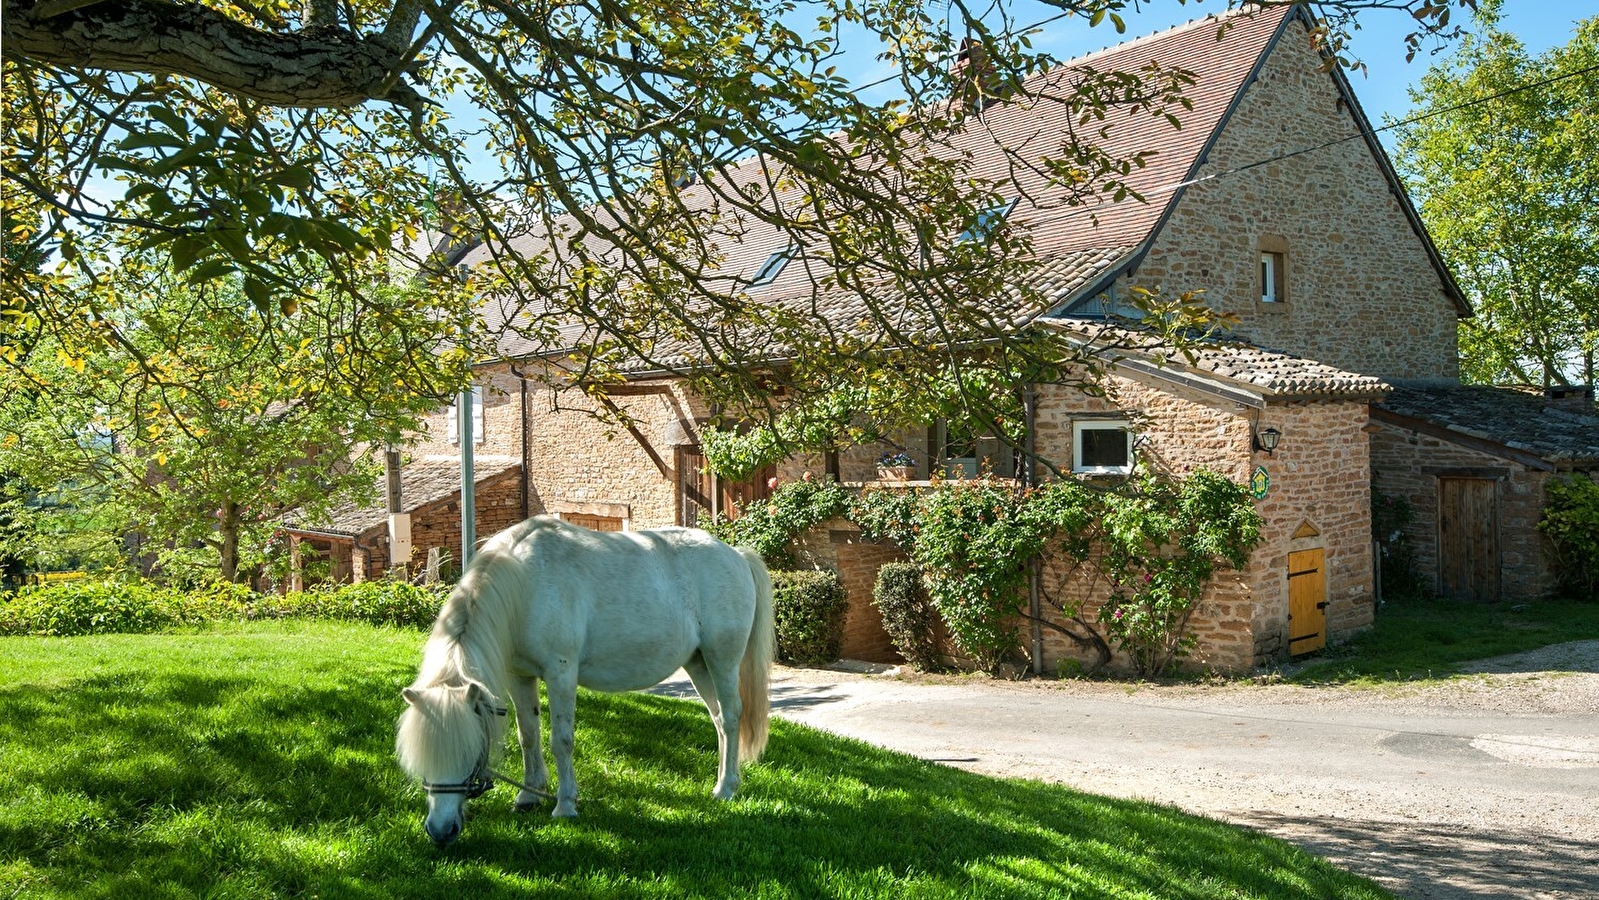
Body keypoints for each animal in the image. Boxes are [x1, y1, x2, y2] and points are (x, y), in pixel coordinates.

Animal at [398, 514, 773, 844]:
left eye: (470, 751)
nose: (440, 831)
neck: (525, 584)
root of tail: (736, 555)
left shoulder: (561, 672)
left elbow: (561, 740)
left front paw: (565, 805)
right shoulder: (520, 677)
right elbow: (528, 736)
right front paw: (528, 797)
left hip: (721, 661)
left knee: (731, 717)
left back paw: (726, 788)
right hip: (698, 665)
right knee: (719, 720)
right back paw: (723, 782)